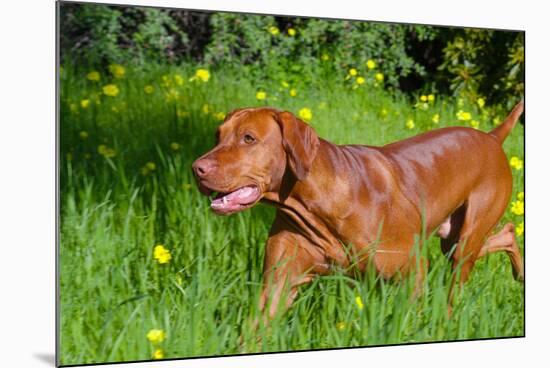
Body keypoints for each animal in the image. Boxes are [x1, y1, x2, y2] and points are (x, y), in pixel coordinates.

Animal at [194, 103, 528, 320]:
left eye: (248, 138)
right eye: (217, 136)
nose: (197, 168)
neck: (319, 205)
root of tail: (491, 137)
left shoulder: (412, 273)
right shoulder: (278, 284)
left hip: (466, 239)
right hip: (454, 239)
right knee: (505, 234)